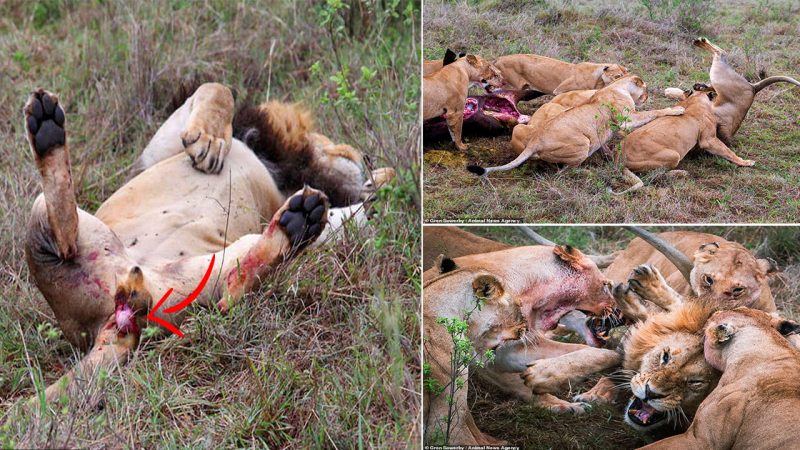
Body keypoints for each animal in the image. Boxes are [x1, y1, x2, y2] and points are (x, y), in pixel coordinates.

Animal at [21, 83, 390, 404]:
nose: (364, 155)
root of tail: (106, 320)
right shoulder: (155, 154)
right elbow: (216, 88)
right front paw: (210, 142)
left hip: (191, 278)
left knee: (233, 281)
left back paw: (297, 223)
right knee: (66, 236)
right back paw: (46, 125)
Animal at [466, 75, 684, 176]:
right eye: (645, 89)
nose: (646, 96)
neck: (618, 86)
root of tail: (535, 141)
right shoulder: (627, 120)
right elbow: (653, 112)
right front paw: (675, 110)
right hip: (583, 144)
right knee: (563, 172)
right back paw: (587, 172)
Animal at [612, 84, 756, 195]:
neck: (695, 101)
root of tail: (619, 159)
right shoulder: (709, 140)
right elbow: (728, 152)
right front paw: (745, 162)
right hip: (674, 155)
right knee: (656, 175)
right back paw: (681, 173)